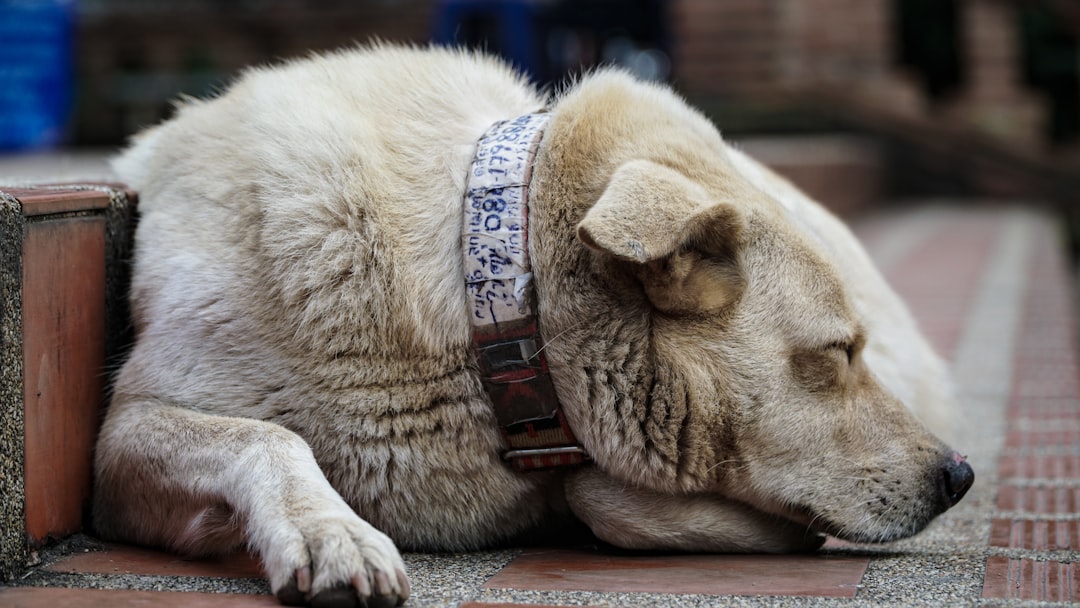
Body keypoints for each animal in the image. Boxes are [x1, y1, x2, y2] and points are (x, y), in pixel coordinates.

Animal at [95, 46, 972, 608]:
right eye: (836, 353)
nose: (960, 476)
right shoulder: (120, 441)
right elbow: (269, 439)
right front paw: (329, 532)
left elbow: (601, 494)